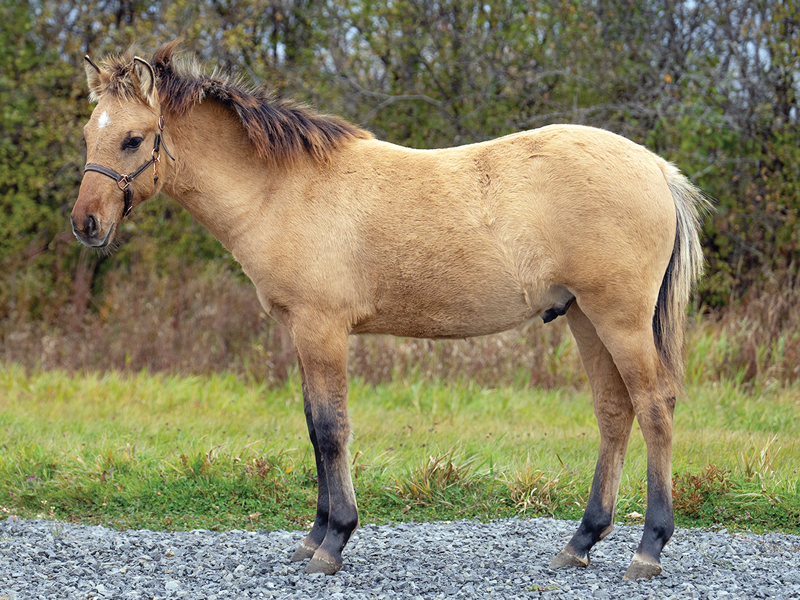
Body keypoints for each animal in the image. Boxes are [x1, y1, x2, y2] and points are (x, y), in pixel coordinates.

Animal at [71, 42, 707, 580]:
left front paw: (333, 542)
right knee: (613, 412)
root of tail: (656, 170)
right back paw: (580, 543)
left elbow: (332, 429)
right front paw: (312, 536)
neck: (283, 190)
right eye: (87, 134)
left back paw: (649, 549)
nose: (86, 225)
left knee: (655, 408)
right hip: (583, 318)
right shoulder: (302, 334)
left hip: (618, 319)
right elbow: (314, 426)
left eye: (132, 139)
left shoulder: (322, 329)